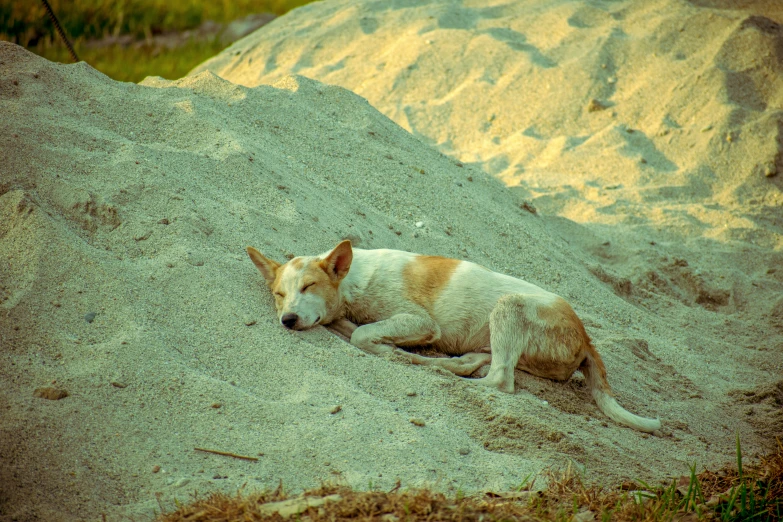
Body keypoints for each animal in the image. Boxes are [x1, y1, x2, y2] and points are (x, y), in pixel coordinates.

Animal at [247, 240, 660, 430]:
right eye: (279, 294)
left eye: (309, 286)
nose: (288, 320)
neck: (354, 279)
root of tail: (586, 337)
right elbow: (352, 327)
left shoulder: (419, 321)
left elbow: (362, 334)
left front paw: (383, 346)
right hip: (497, 338)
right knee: (480, 364)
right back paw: (440, 364)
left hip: (508, 306)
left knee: (499, 381)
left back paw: (431, 369)